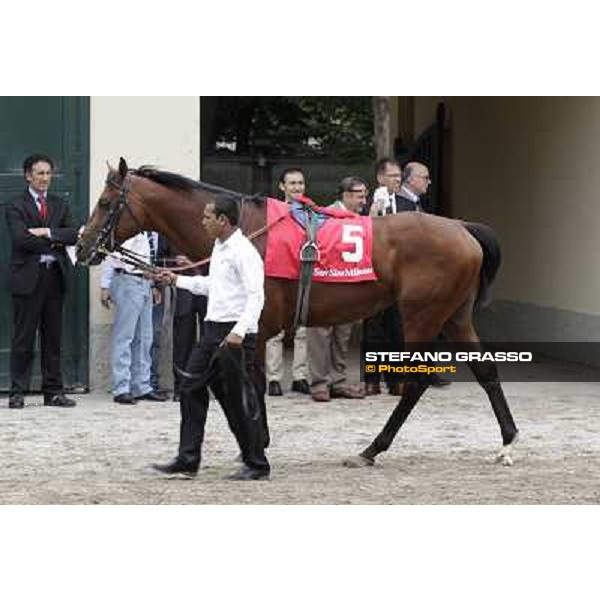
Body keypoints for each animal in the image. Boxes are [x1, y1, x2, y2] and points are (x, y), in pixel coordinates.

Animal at [77, 159, 520, 468]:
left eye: (105, 202)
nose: (82, 245)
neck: (243, 231)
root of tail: (462, 228)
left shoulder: (255, 329)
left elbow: (252, 386)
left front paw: (256, 446)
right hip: (454, 315)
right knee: (486, 371)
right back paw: (508, 441)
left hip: (422, 316)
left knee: (416, 383)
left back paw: (371, 449)